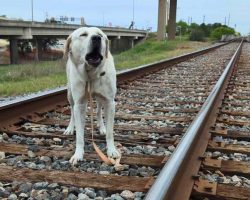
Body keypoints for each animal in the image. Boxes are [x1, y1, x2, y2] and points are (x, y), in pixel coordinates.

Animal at [63, 27, 120, 165]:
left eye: (100, 35)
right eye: (83, 35)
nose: (96, 38)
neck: (90, 74)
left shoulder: (110, 102)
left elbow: (110, 132)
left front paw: (112, 150)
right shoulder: (79, 104)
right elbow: (79, 135)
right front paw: (78, 154)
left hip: (100, 98)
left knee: (99, 111)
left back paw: (101, 127)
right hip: (69, 94)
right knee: (72, 111)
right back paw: (70, 128)